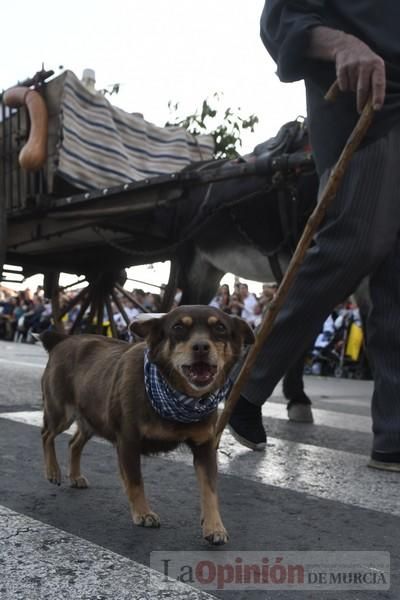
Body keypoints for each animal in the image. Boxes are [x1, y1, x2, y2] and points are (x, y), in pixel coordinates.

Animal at [40, 304, 253, 544]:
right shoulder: (128, 442)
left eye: (220, 328)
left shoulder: (204, 448)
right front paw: (142, 513)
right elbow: (135, 481)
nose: (201, 346)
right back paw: (53, 471)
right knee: (47, 435)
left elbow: (210, 490)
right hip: (61, 411)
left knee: (74, 443)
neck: (178, 395)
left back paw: (74, 476)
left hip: (92, 418)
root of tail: (62, 340)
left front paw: (214, 526)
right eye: (178, 327)